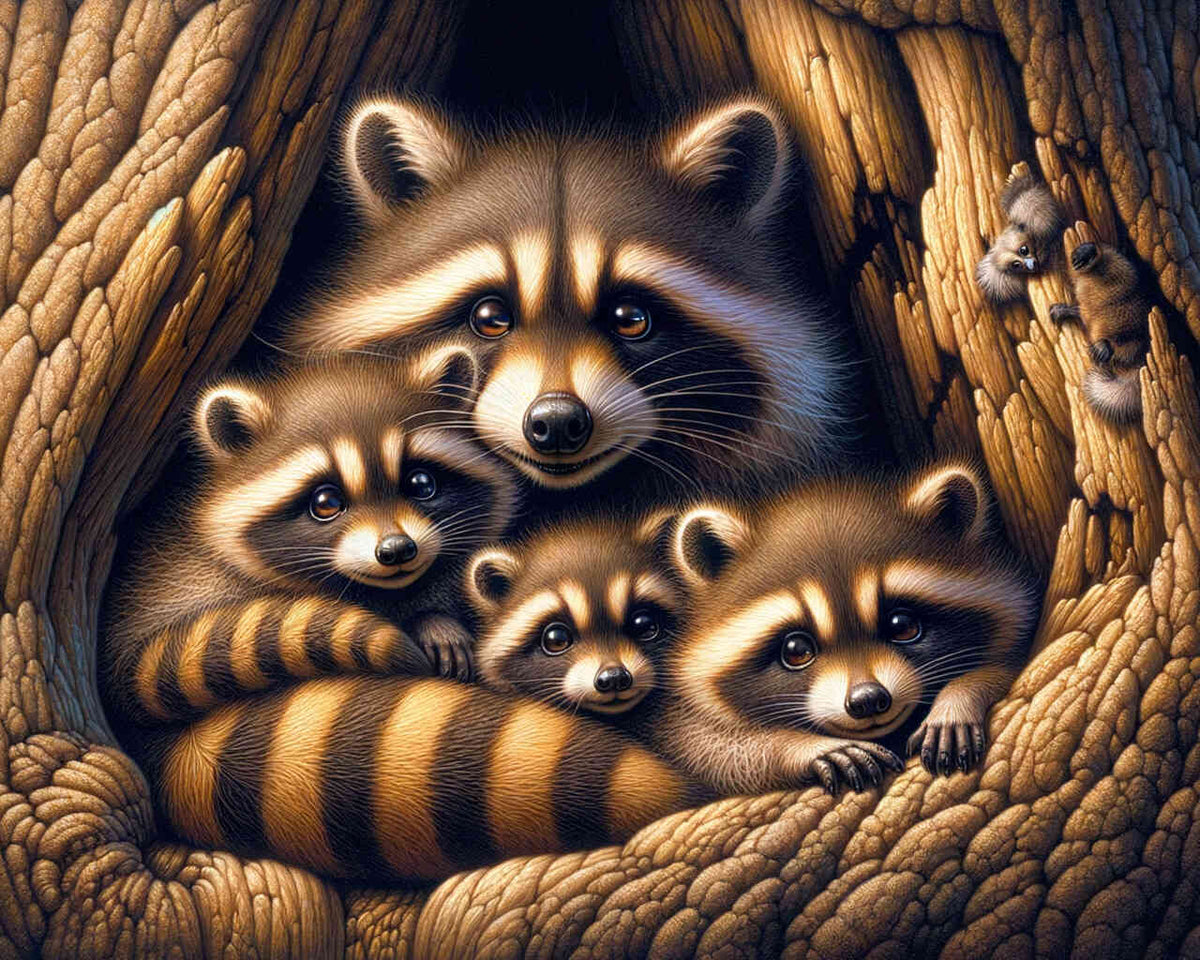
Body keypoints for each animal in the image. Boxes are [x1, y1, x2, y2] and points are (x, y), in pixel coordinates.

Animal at [101, 347, 517, 727]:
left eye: (421, 484)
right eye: (325, 503)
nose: (397, 549)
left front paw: (434, 618)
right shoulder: (179, 577)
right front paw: (427, 622)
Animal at [647, 462, 1039, 794]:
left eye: (902, 626)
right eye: (796, 651)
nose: (867, 699)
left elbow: (1016, 660)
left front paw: (961, 694)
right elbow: (703, 747)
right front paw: (801, 747)